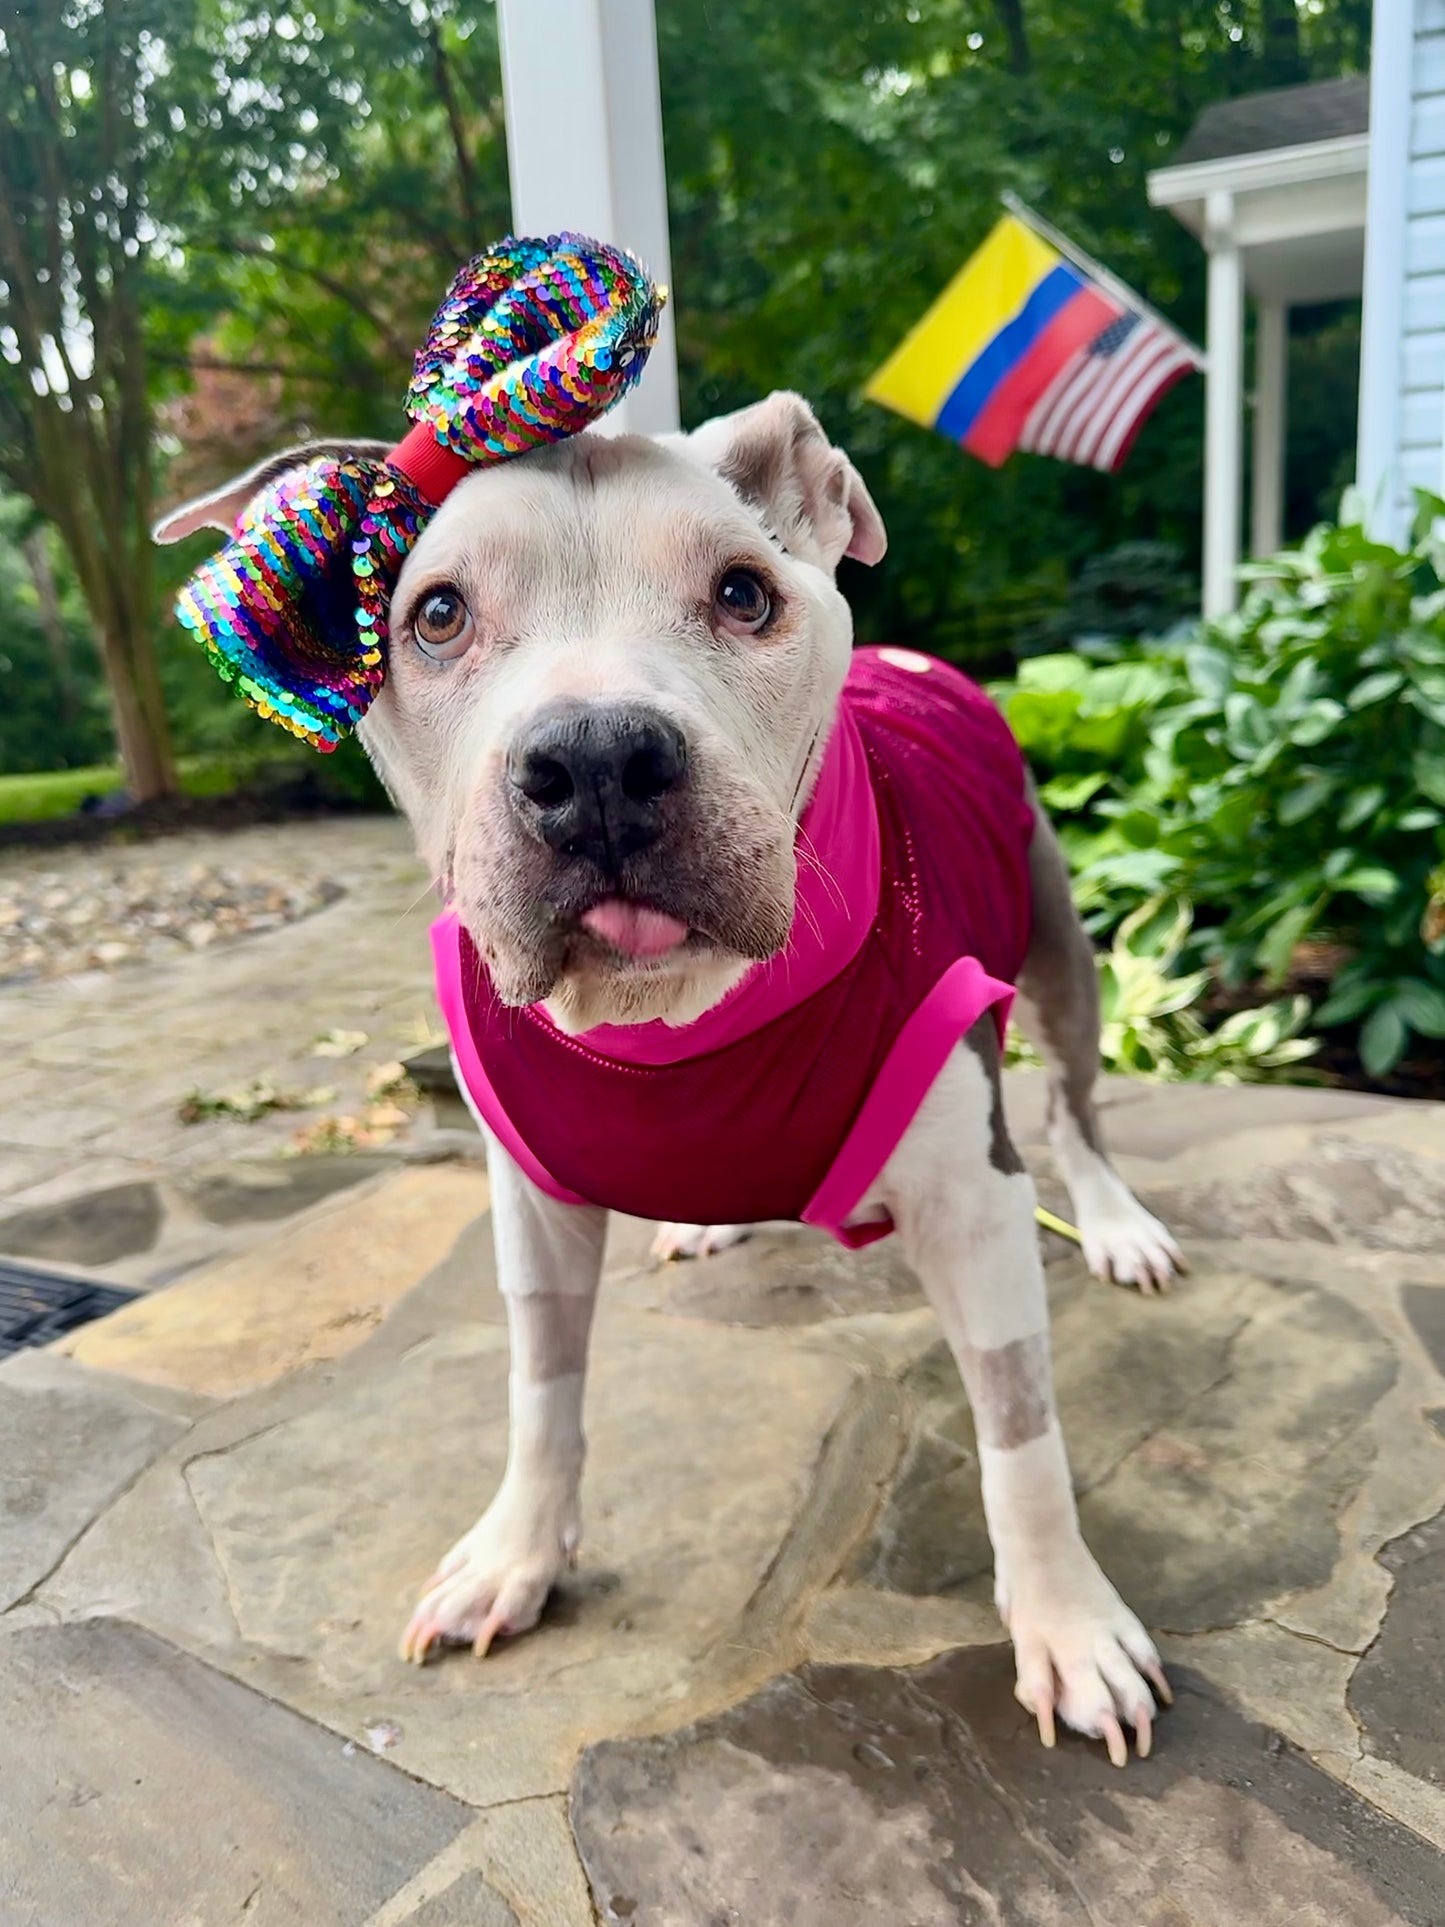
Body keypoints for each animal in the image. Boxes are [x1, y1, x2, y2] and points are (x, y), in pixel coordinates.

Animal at [157, 391, 1182, 1766]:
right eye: (437, 614)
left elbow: (1019, 1430)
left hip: (1060, 946)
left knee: (1076, 1106)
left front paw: (1068, 1624)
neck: (672, 1025)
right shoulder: (533, 1207)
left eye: (743, 593)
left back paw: (1117, 1223)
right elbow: (541, 1393)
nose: (596, 758)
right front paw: (516, 1556)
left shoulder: (971, 1202)